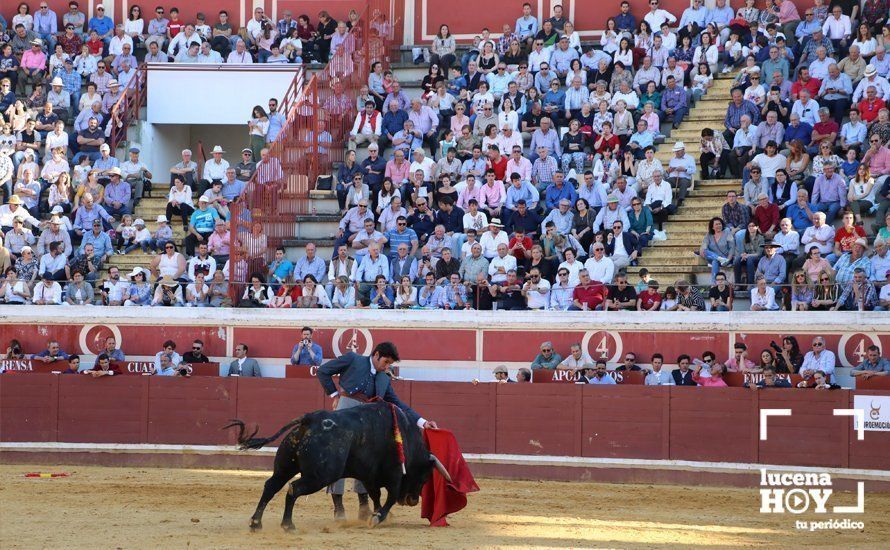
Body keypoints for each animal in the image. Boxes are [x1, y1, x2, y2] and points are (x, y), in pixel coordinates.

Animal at [224, 404, 450, 532]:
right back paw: (288, 525)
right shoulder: (394, 474)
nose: (413, 500)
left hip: (285, 467)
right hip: (320, 476)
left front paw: (376, 515)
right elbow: (390, 496)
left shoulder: (369, 475)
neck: (406, 436)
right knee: (293, 489)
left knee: (271, 486)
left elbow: (375, 495)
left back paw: (256, 523)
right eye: (425, 475)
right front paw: (377, 518)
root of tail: (309, 419)